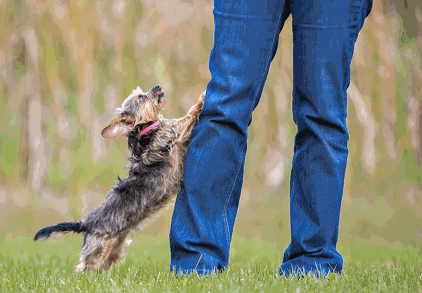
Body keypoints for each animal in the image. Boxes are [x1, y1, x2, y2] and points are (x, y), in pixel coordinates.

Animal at [34, 84, 204, 272]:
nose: (157, 86)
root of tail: (87, 224)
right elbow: (189, 114)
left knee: (102, 265)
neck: (146, 130)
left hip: (115, 247)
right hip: (98, 247)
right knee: (83, 266)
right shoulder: (174, 131)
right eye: (141, 98)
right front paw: (203, 97)